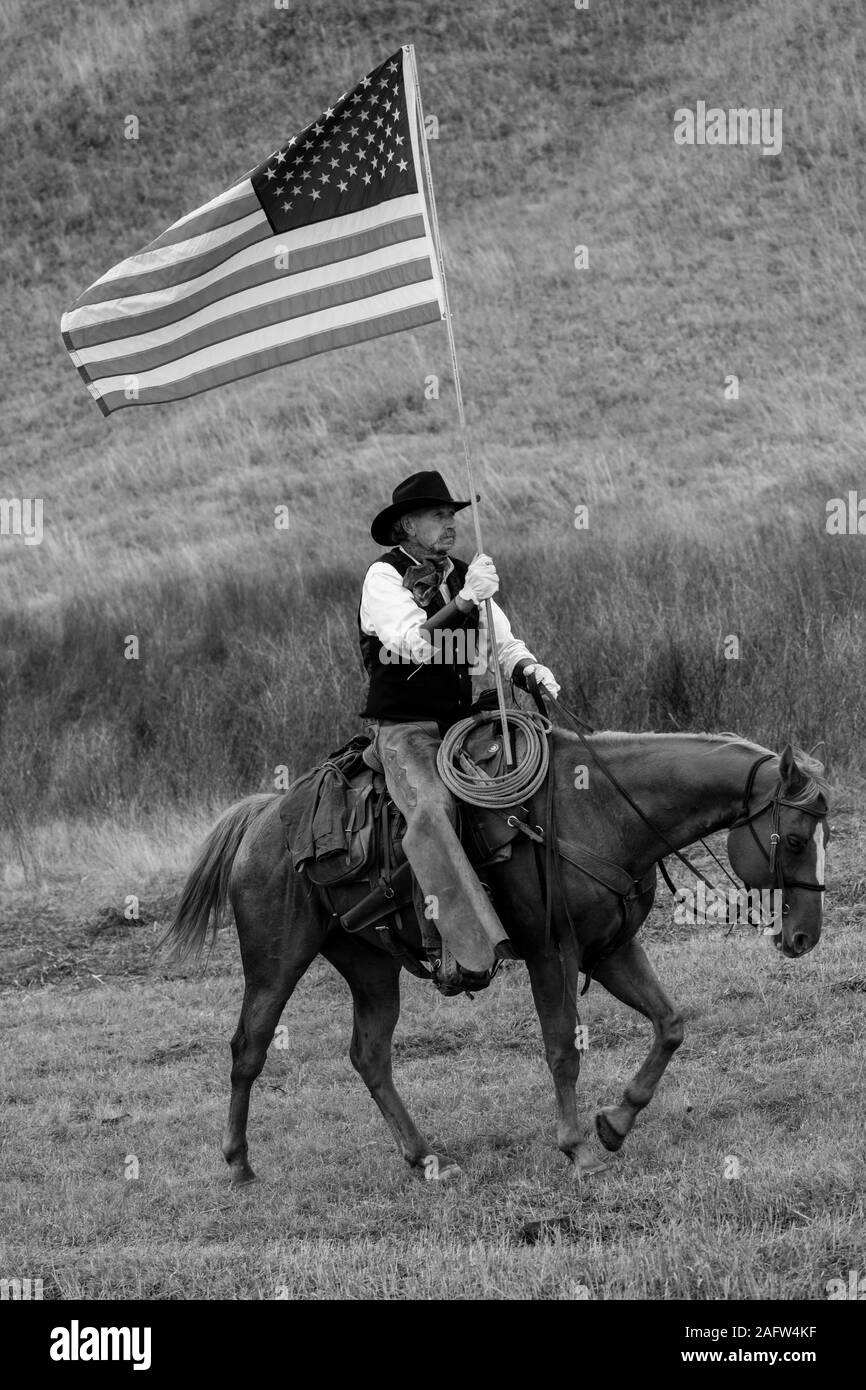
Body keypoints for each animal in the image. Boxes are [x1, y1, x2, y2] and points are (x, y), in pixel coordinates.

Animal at [159, 728, 828, 1184]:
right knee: (248, 1049)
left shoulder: (611, 949)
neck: (599, 812)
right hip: (275, 962)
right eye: (795, 839)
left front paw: (614, 1125)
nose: (804, 938)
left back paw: (423, 1157)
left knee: (369, 1056)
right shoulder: (551, 953)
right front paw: (577, 1148)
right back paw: (240, 1166)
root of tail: (263, 819)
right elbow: (562, 1049)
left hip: (370, 967)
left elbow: (670, 1025)